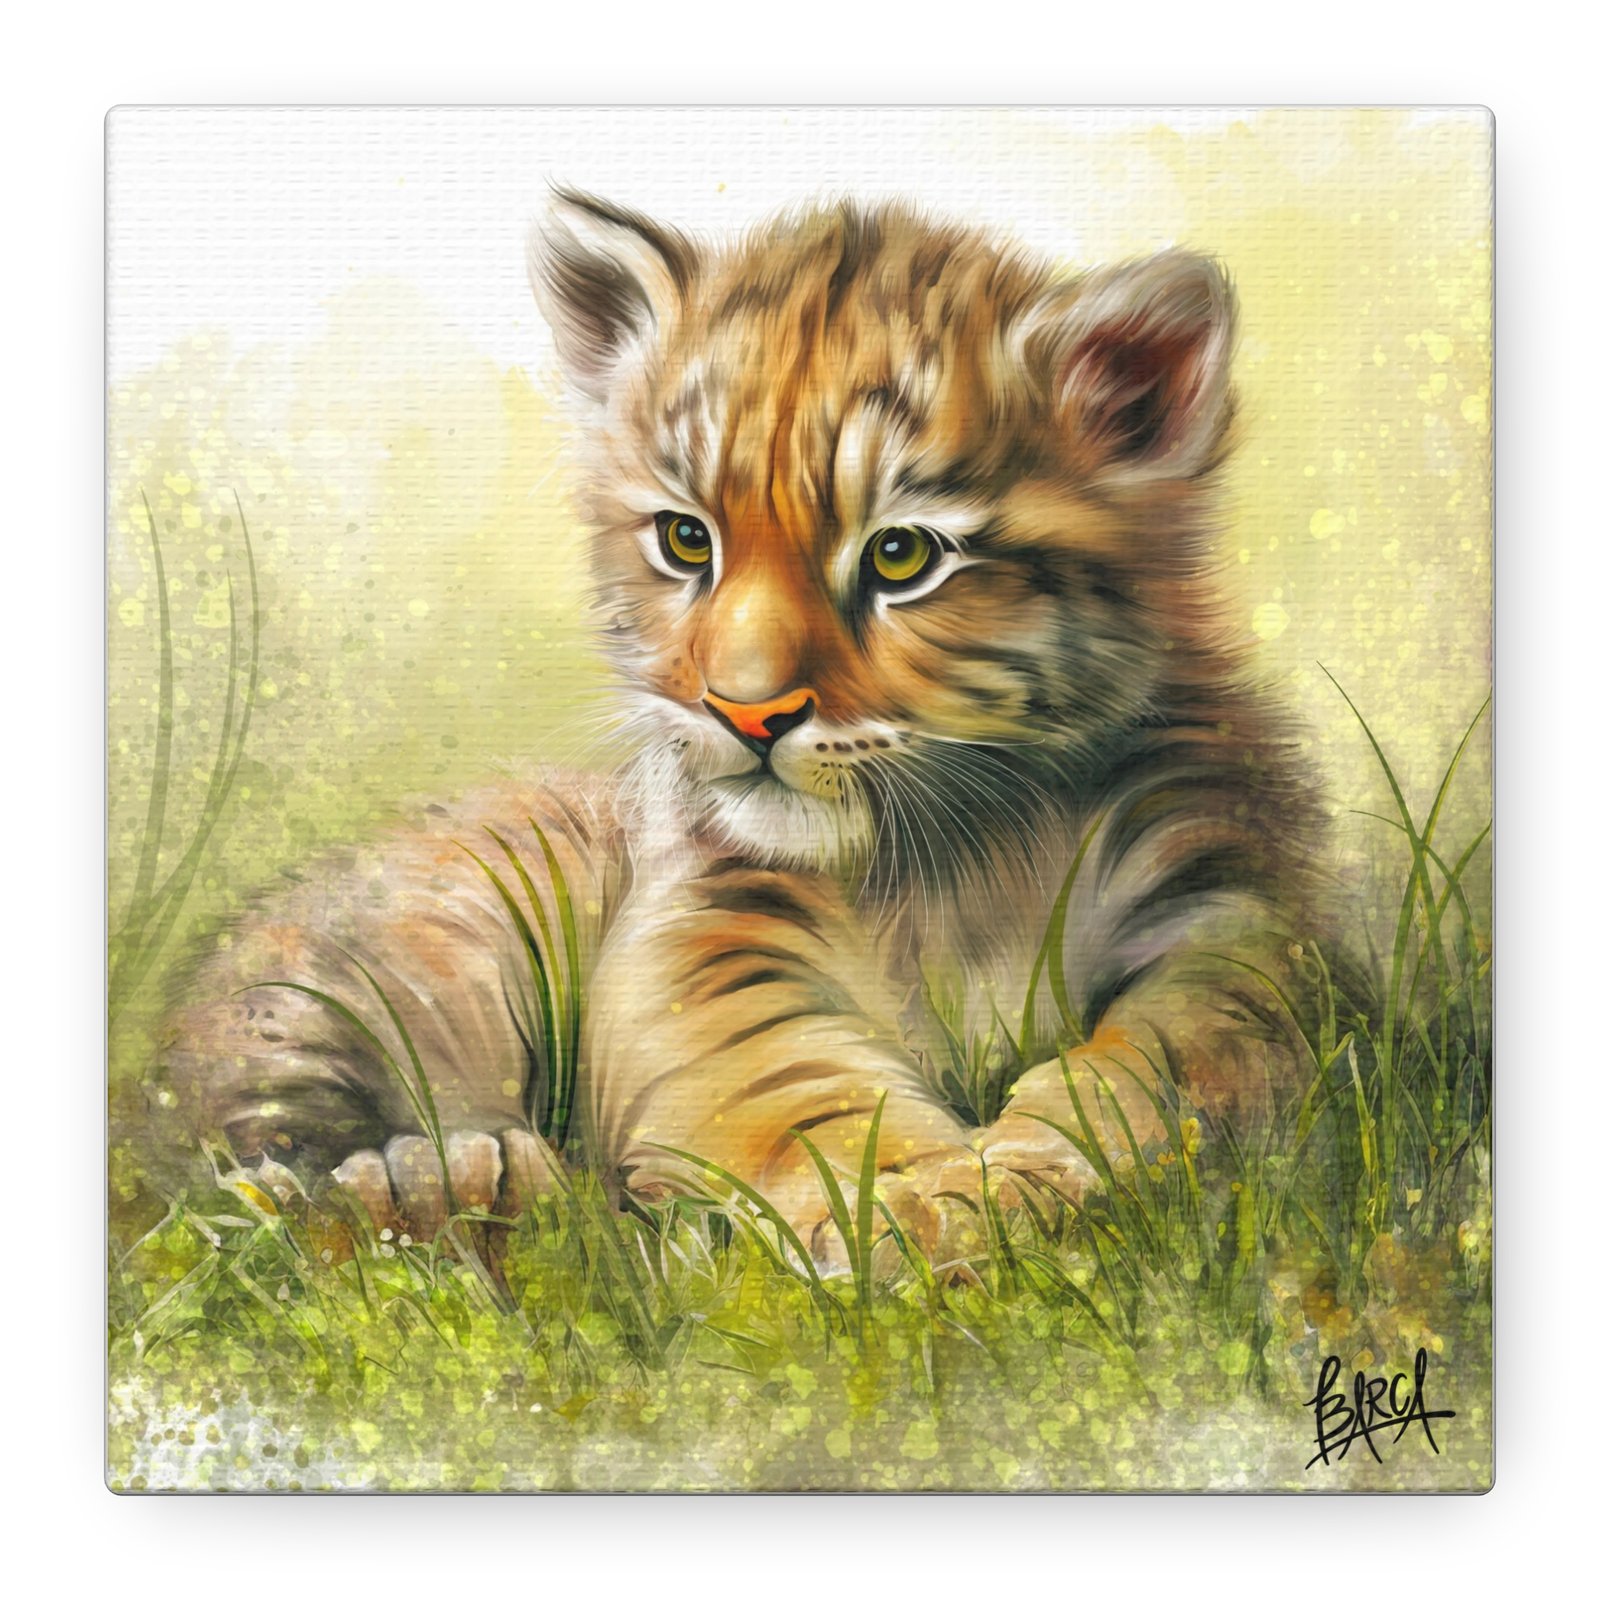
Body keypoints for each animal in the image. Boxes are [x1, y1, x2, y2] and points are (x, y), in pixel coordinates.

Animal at [162, 188, 1330, 1266]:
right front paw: (915, 1205)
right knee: (235, 1168)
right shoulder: (708, 930)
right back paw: (450, 1187)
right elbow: (794, 1082)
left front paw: (1020, 1175)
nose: (744, 710)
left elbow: (1170, 1056)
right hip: (366, 975)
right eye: (687, 539)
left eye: (902, 555)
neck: (958, 859)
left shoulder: (1223, 915)